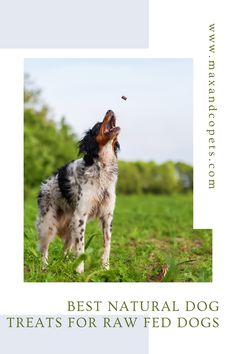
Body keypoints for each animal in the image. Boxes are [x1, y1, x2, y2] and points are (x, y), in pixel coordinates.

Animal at [36, 109, 121, 272]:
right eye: (98, 125)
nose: (110, 110)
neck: (102, 167)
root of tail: (44, 185)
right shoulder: (81, 216)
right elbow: (81, 248)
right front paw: (80, 271)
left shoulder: (107, 216)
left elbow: (107, 244)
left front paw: (105, 268)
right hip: (48, 225)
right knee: (44, 249)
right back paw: (44, 268)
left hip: (70, 224)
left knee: (65, 249)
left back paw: (65, 263)